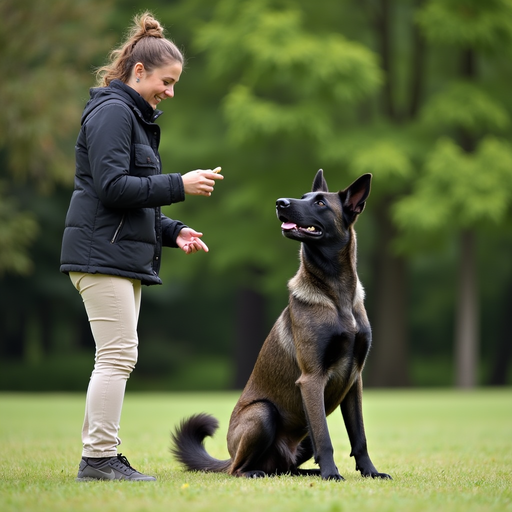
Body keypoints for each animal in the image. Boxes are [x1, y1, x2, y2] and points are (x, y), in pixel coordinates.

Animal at [172, 171, 392, 480]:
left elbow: (358, 437)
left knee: (286, 468)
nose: (280, 203)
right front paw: (332, 474)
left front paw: (370, 472)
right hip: (263, 414)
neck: (335, 293)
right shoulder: (311, 379)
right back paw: (256, 473)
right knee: (238, 469)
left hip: (297, 444)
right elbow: (325, 437)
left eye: (320, 202)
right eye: (303, 197)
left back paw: (308, 472)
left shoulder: (354, 382)